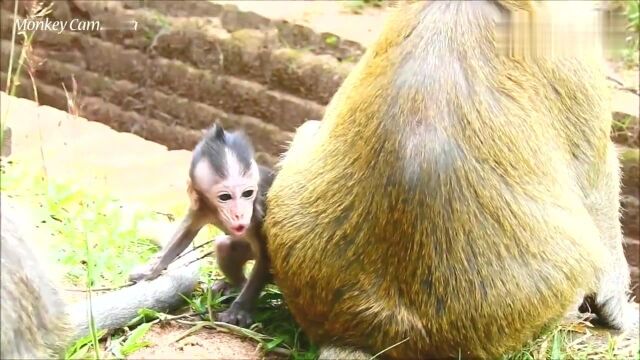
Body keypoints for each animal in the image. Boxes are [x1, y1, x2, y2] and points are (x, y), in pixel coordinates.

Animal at [130, 123, 276, 326]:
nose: (239, 214)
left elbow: (265, 257)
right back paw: (235, 285)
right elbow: (185, 232)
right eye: (225, 197)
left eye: (248, 193)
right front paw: (149, 271)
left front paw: (238, 311)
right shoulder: (200, 206)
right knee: (224, 247)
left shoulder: (260, 209)